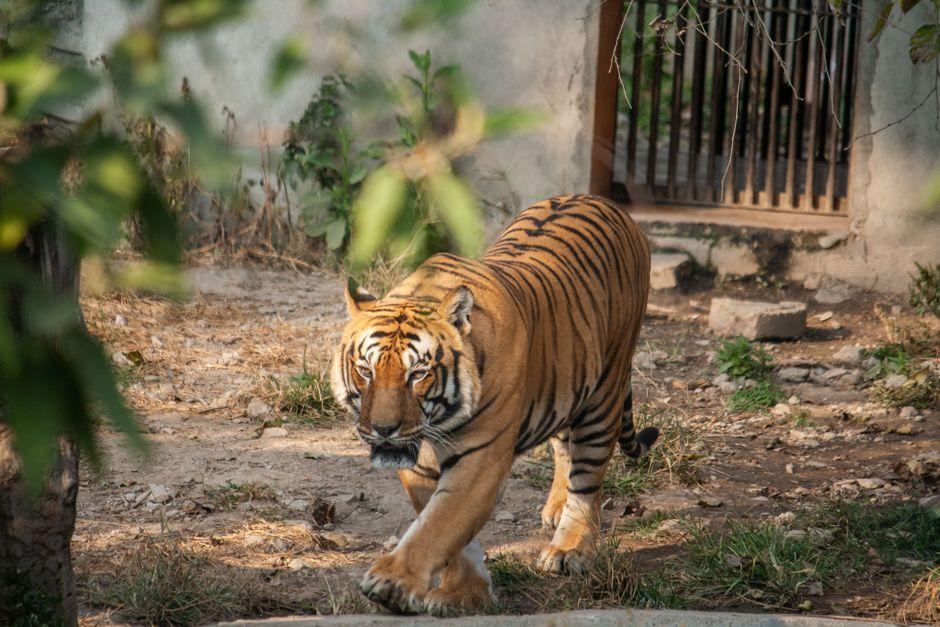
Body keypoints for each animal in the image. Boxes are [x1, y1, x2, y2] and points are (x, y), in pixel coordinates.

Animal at [331, 194, 657, 615]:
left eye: (418, 374)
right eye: (365, 371)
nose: (383, 430)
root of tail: (602, 200)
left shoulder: (481, 458)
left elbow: (440, 524)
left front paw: (392, 583)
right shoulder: (420, 465)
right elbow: (450, 533)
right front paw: (466, 594)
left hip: (606, 389)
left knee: (587, 476)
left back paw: (570, 549)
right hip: (567, 382)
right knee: (564, 447)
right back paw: (556, 509)